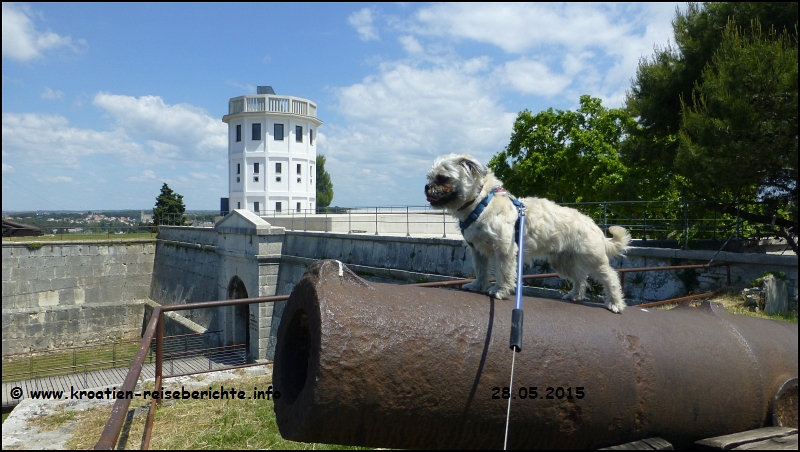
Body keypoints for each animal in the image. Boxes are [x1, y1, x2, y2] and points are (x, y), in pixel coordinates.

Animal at [422, 154, 636, 312]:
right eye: (429, 177)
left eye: (442, 178)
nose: (426, 187)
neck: (481, 203)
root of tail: (593, 225)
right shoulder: (477, 251)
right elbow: (481, 271)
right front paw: (477, 286)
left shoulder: (504, 250)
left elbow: (503, 273)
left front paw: (499, 291)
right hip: (563, 261)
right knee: (580, 278)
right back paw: (575, 295)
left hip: (592, 258)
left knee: (610, 277)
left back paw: (615, 303)